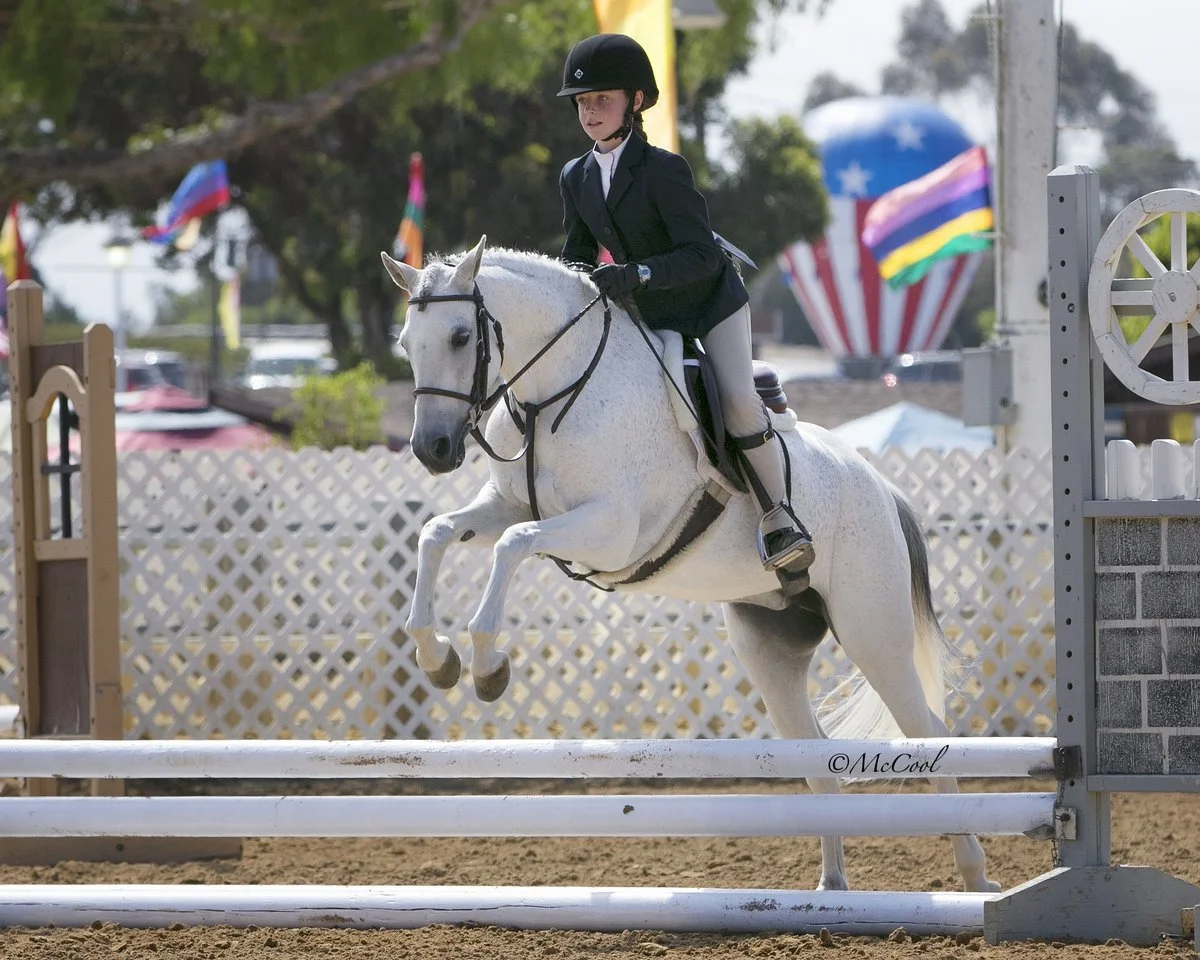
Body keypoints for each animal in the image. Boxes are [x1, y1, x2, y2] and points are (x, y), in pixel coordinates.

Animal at [381, 236, 999, 894]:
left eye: (458, 337)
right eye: (406, 344)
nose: (432, 451)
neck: (555, 390)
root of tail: (883, 486)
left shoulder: (610, 531)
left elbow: (513, 545)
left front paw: (487, 666)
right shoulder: (505, 507)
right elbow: (438, 533)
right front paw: (438, 658)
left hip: (872, 632)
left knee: (927, 732)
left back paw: (976, 879)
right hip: (770, 648)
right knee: (820, 766)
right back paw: (832, 890)